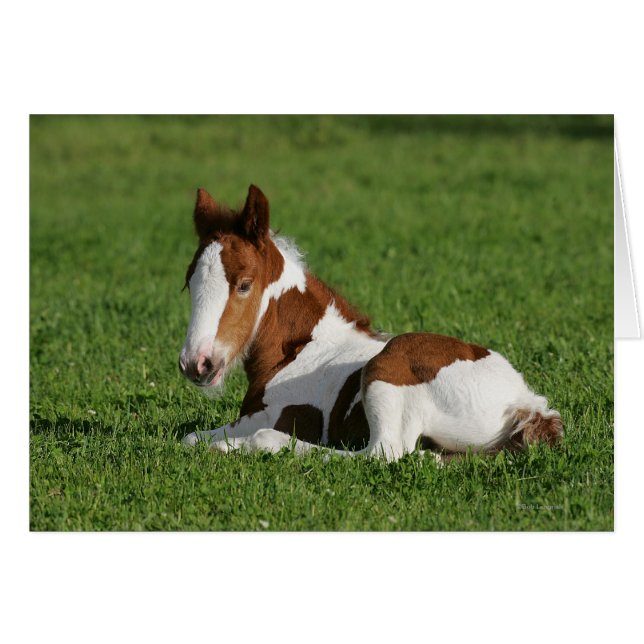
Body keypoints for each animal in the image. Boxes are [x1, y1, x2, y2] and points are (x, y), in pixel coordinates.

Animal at [179, 185, 563, 461]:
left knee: (381, 453)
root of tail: (524, 402)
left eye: (244, 284)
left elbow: (198, 437)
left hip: (388, 366)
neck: (300, 350)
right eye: (188, 282)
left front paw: (230, 445)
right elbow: (189, 437)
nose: (197, 364)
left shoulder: (269, 415)